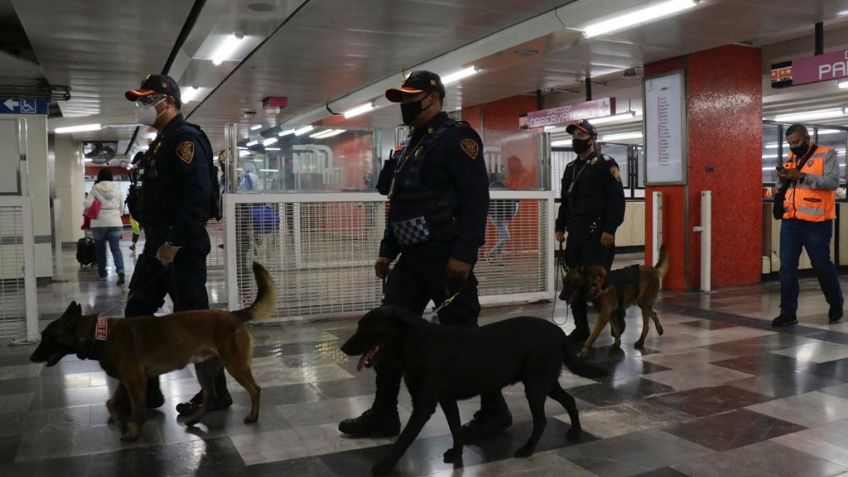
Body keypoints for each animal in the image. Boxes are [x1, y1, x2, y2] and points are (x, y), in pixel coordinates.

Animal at [28, 260, 274, 438]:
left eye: (47, 336)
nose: (31, 357)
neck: (100, 335)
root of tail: (233, 315)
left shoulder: (135, 382)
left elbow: (136, 411)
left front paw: (133, 432)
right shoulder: (127, 381)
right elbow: (111, 404)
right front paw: (120, 422)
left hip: (234, 365)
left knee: (255, 389)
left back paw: (253, 416)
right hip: (205, 367)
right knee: (211, 395)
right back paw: (194, 419)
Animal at [342, 306, 608, 474]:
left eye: (367, 328)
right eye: (359, 325)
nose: (344, 348)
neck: (418, 343)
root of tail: (559, 333)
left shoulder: (423, 407)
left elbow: (404, 440)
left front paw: (383, 466)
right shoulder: (447, 400)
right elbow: (455, 429)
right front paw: (456, 454)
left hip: (535, 386)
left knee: (542, 419)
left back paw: (527, 449)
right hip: (546, 382)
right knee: (569, 400)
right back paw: (575, 431)